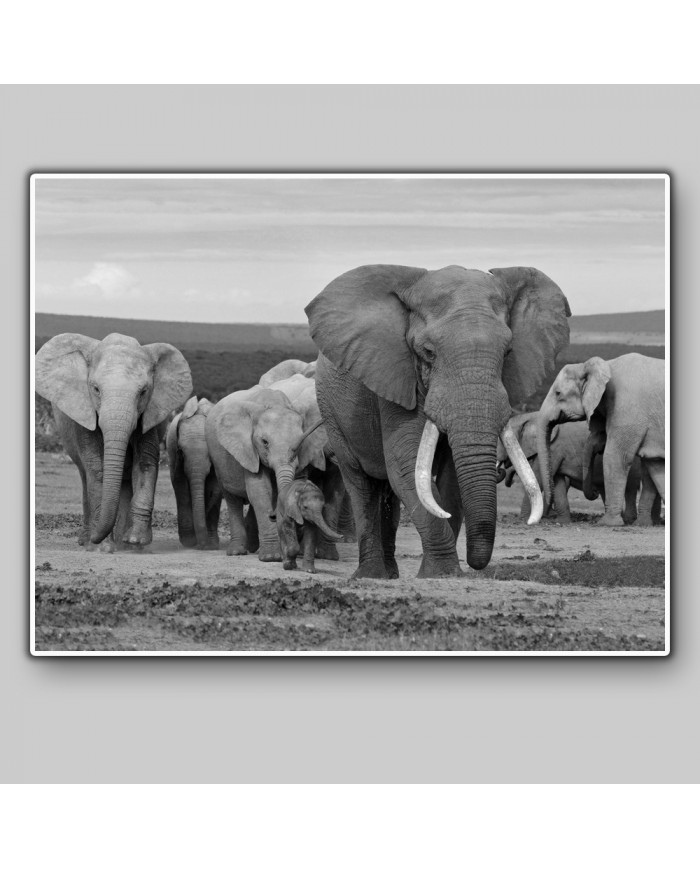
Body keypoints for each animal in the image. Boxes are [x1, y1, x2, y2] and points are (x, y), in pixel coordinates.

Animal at [35, 332, 192, 549]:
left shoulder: (149, 413)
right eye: (95, 389)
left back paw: (122, 543)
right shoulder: (85, 413)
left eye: (143, 392)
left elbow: (144, 464)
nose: (96, 539)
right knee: (85, 474)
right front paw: (101, 547)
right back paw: (89, 540)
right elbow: (96, 467)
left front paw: (136, 541)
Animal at [166, 396, 222, 549]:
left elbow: (214, 488)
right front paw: (189, 541)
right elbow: (181, 486)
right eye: (181, 451)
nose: (202, 546)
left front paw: (211, 544)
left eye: (210, 453)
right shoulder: (174, 452)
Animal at [205, 386, 326, 560]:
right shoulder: (250, 450)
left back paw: (251, 547)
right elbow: (260, 491)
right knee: (232, 498)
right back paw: (237, 552)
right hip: (219, 461)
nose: (273, 515)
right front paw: (272, 557)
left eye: (301, 441)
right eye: (265, 442)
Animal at [305, 264, 571, 577]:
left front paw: (443, 572)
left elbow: (450, 478)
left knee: (387, 490)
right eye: (428, 352)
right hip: (331, 413)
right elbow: (406, 465)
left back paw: (391, 575)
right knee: (361, 484)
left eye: (507, 353)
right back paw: (371, 575)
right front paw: (442, 573)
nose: (475, 564)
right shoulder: (395, 379)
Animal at [536, 353, 665, 526]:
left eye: (558, 393)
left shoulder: (626, 411)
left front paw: (607, 523)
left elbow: (615, 457)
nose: (595, 492)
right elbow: (656, 465)